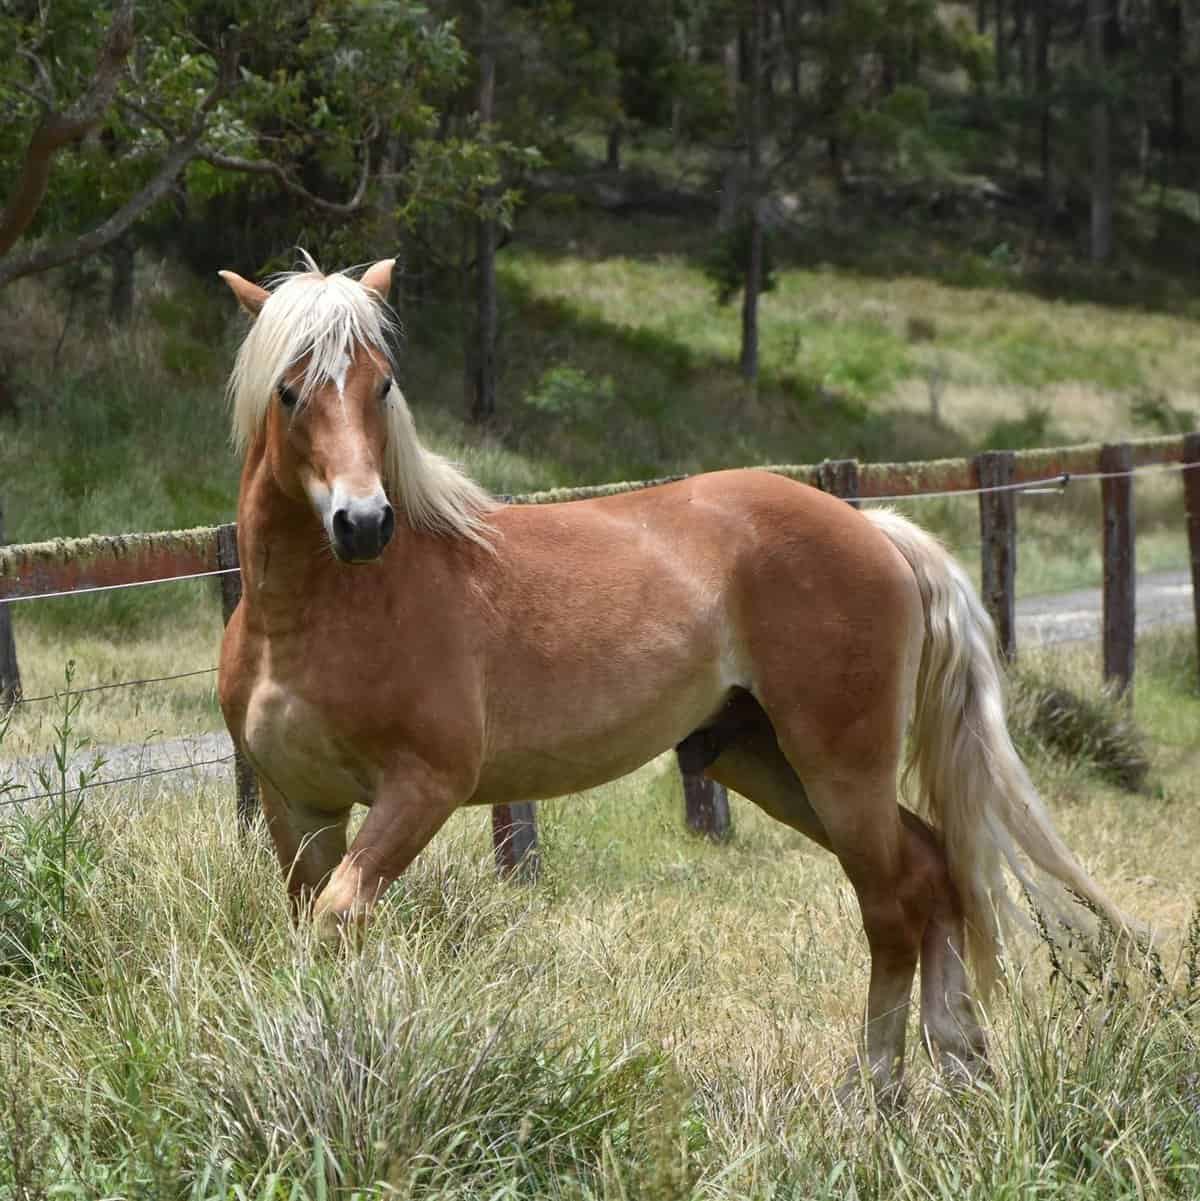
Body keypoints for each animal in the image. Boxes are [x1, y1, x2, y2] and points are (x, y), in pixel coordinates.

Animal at [216, 255, 1134, 1099]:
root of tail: (871, 528)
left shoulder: (422, 788)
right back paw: (960, 1068)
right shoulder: (299, 805)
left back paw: (873, 1091)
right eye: (289, 392)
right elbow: (314, 922)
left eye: (382, 385)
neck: (323, 613)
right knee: (933, 867)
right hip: (765, 764)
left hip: (841, 769)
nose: (363, 523)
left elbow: (340, 915)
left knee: (891, 903)